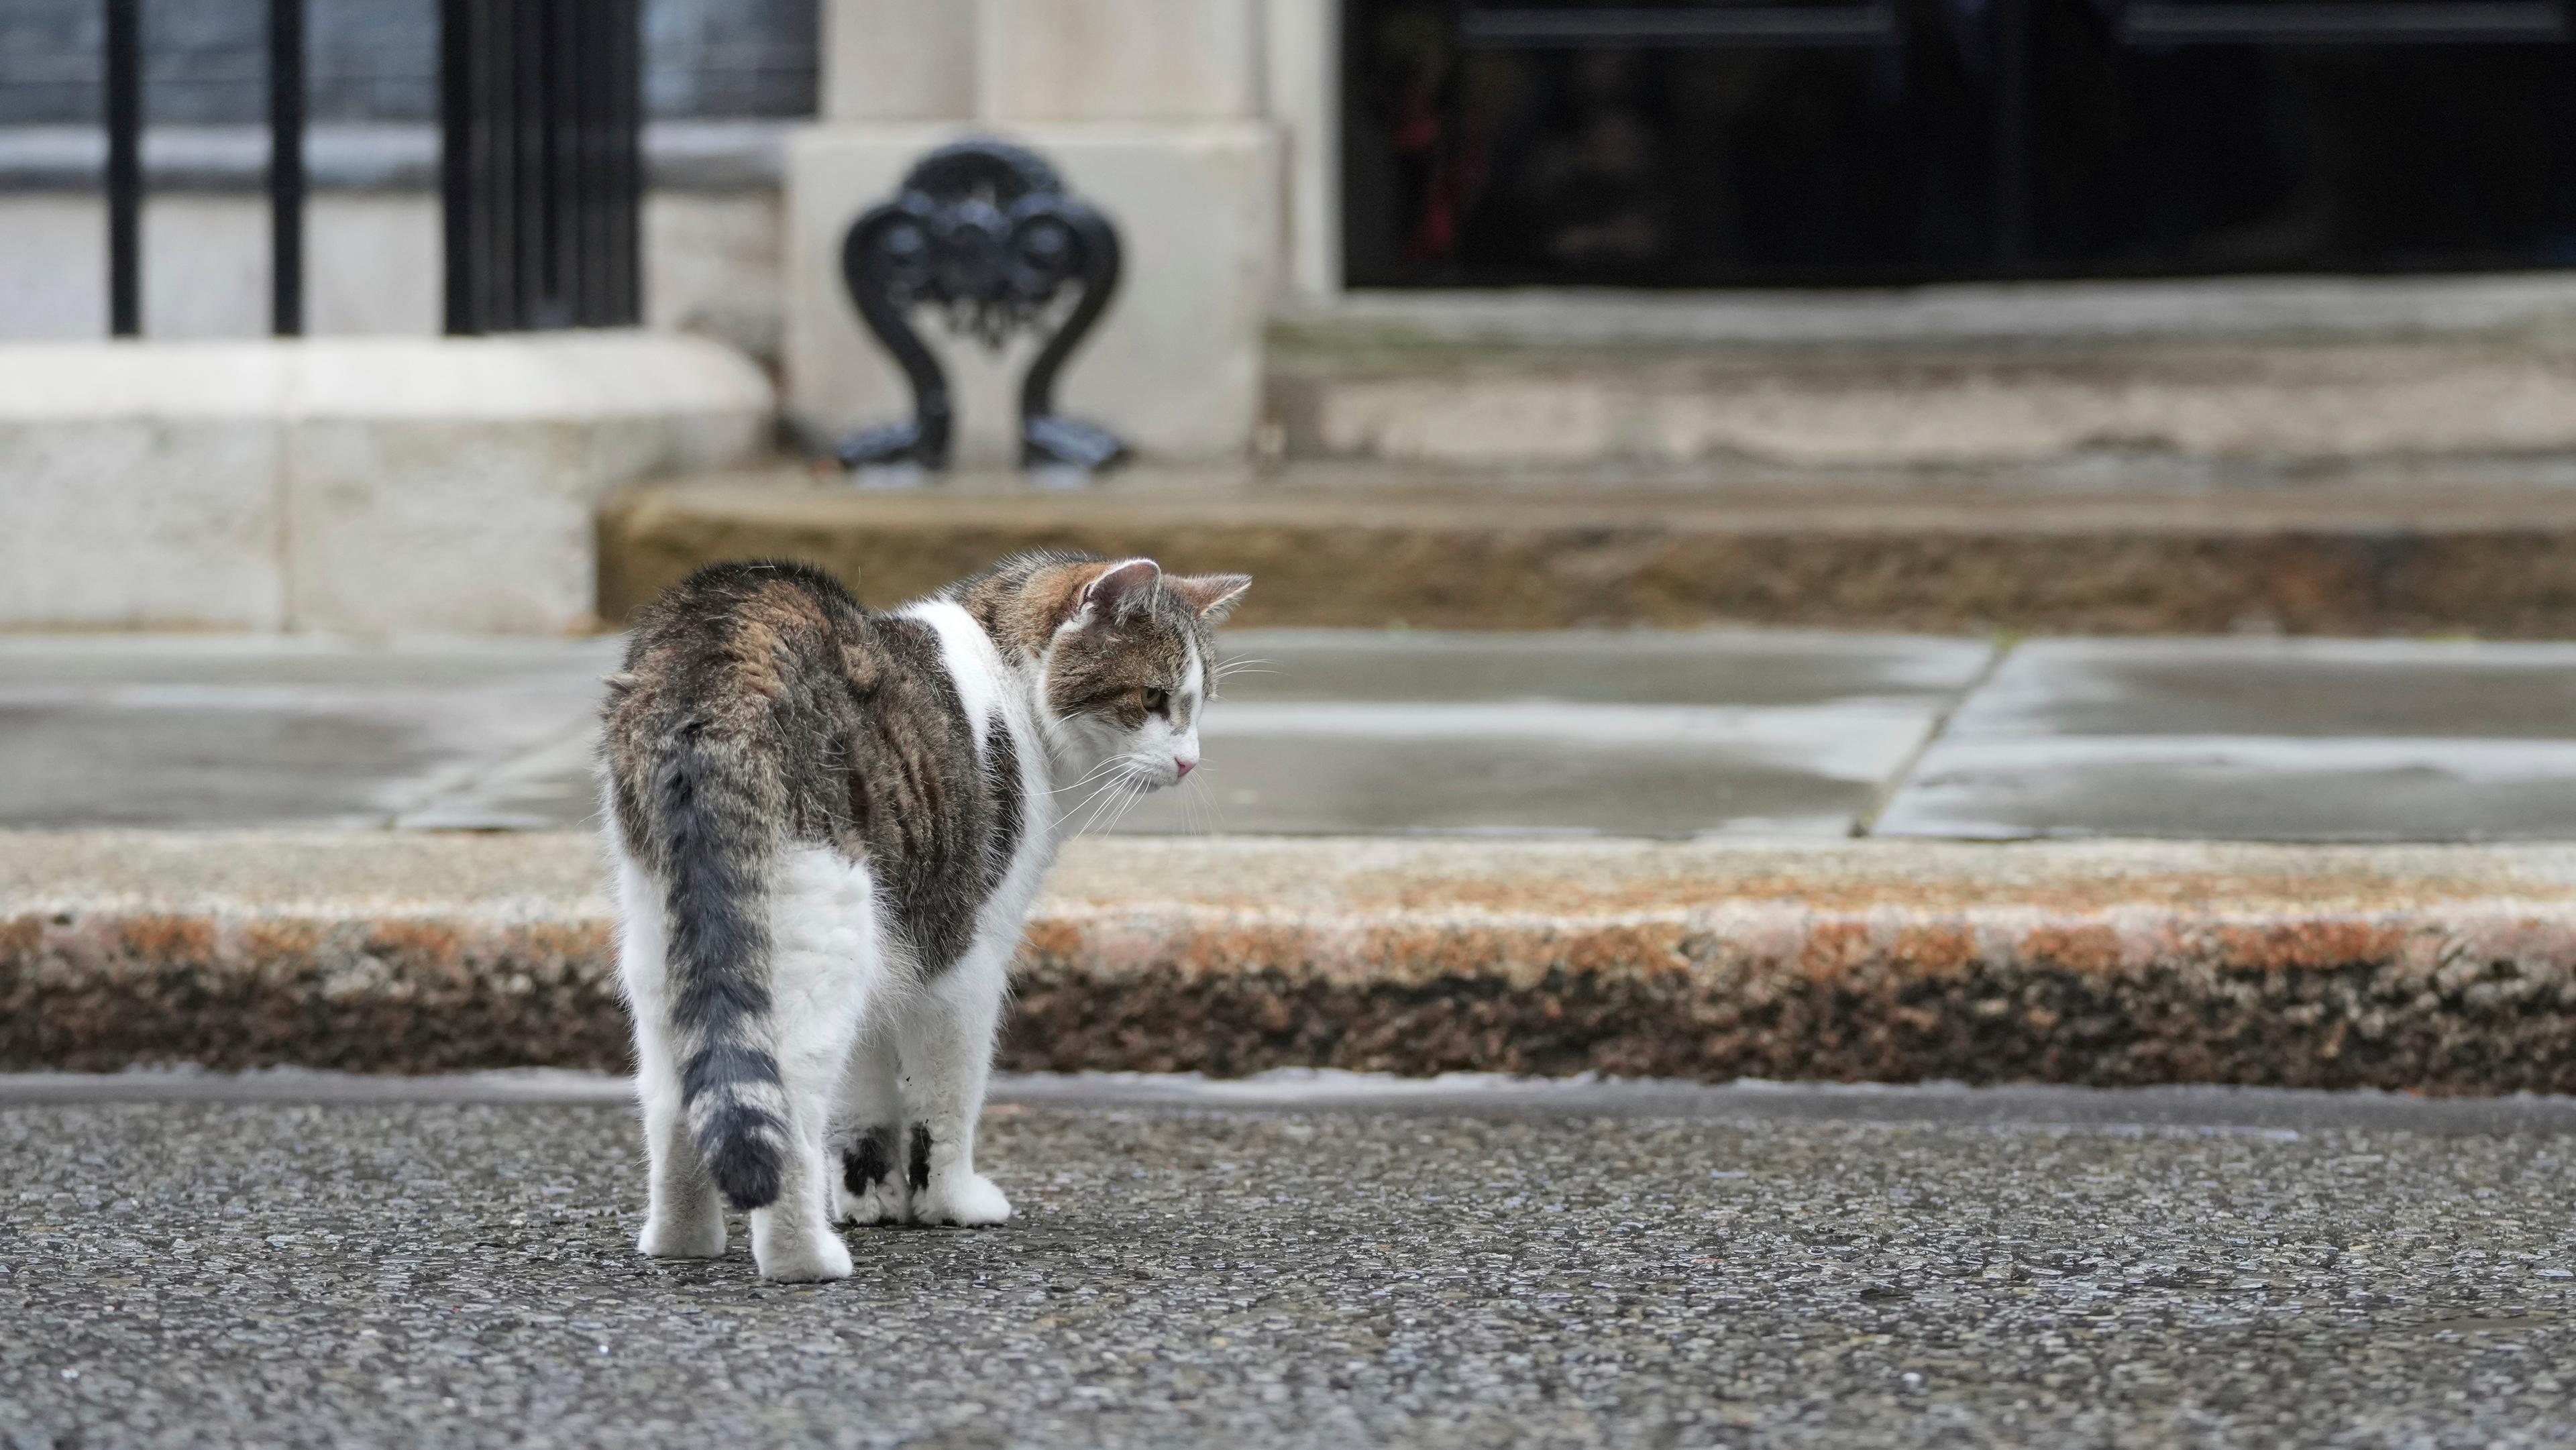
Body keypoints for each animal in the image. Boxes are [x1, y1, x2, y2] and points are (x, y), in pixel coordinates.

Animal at [602, 556, 1246, 1282]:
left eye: (1198, 704)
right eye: (1153, 699)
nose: (1189, 760)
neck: (1007, 673)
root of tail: (719, 648)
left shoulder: (892, 945)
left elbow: (864, 1101)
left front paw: (873, 1196)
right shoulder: (962, 958)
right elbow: (944, 1101)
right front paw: (950, 1202)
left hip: (671, 935)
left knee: (675, 1090)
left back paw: (682, 1237)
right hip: (821, 930)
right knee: (786, 1095)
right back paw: (804, 1257)